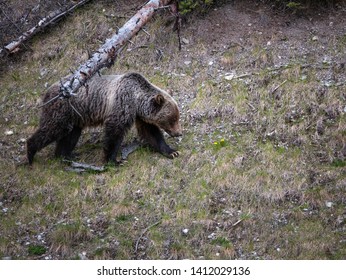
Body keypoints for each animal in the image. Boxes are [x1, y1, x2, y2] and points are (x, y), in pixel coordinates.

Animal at [26, 72, 182, 165]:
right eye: (172, 119)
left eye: (177, 117)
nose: (179, 133)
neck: (136, 100)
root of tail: (47, 91)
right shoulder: (121, 104)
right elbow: (114, 132)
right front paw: (113, 160)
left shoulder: (140, 115)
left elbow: (151, 132)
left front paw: (172, 152)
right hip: (62, 110)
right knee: (52, 128)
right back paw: (31, 153)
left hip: (75, 117)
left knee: (70, 135)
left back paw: (65, 155)